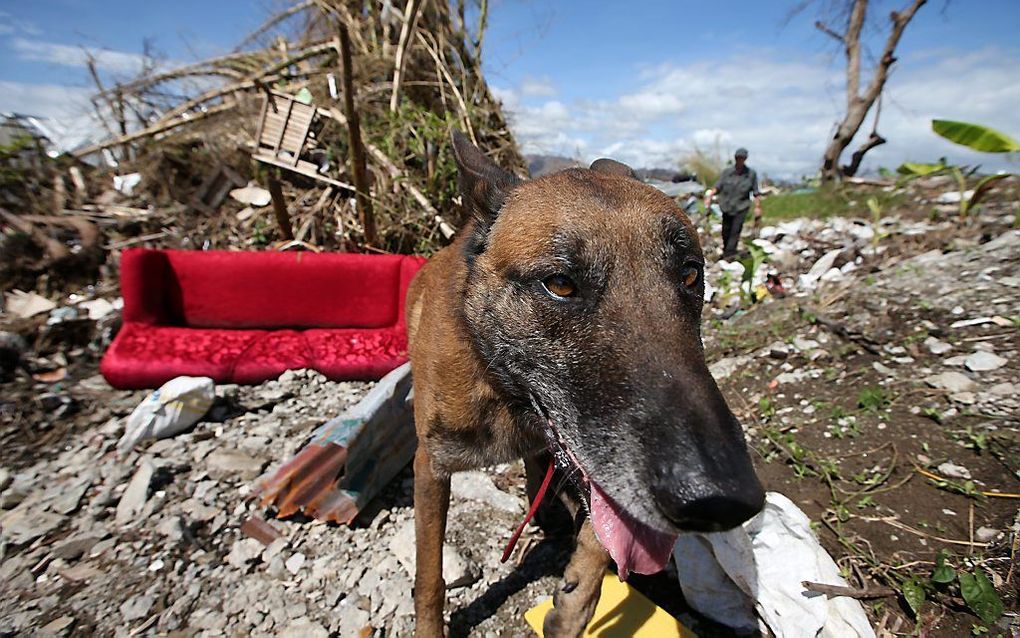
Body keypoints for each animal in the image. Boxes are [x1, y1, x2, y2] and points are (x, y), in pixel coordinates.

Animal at [408, 131, 767, 632]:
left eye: (691, 274)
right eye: (560, 284)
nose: (721, 500)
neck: (504, 393)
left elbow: (605, 532)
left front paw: (575, 604)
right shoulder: (430, 468)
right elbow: (429, 579)